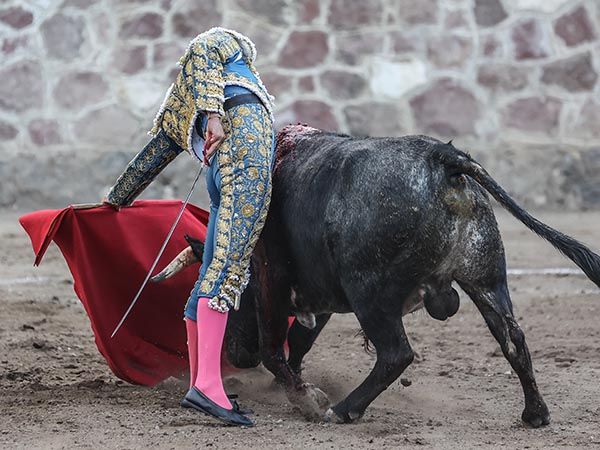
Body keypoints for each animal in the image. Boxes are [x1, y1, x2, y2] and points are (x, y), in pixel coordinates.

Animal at [157, 127, 600, 428]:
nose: (237, 356)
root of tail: (444, 159)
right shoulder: (322, 291)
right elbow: (299, 340)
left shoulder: (271, 276)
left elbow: (276, 345)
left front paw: (306, 397)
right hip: (485, 276)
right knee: (513, 339)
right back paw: (535, 413)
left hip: (368, 290)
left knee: (396, 353)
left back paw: (343, 409)